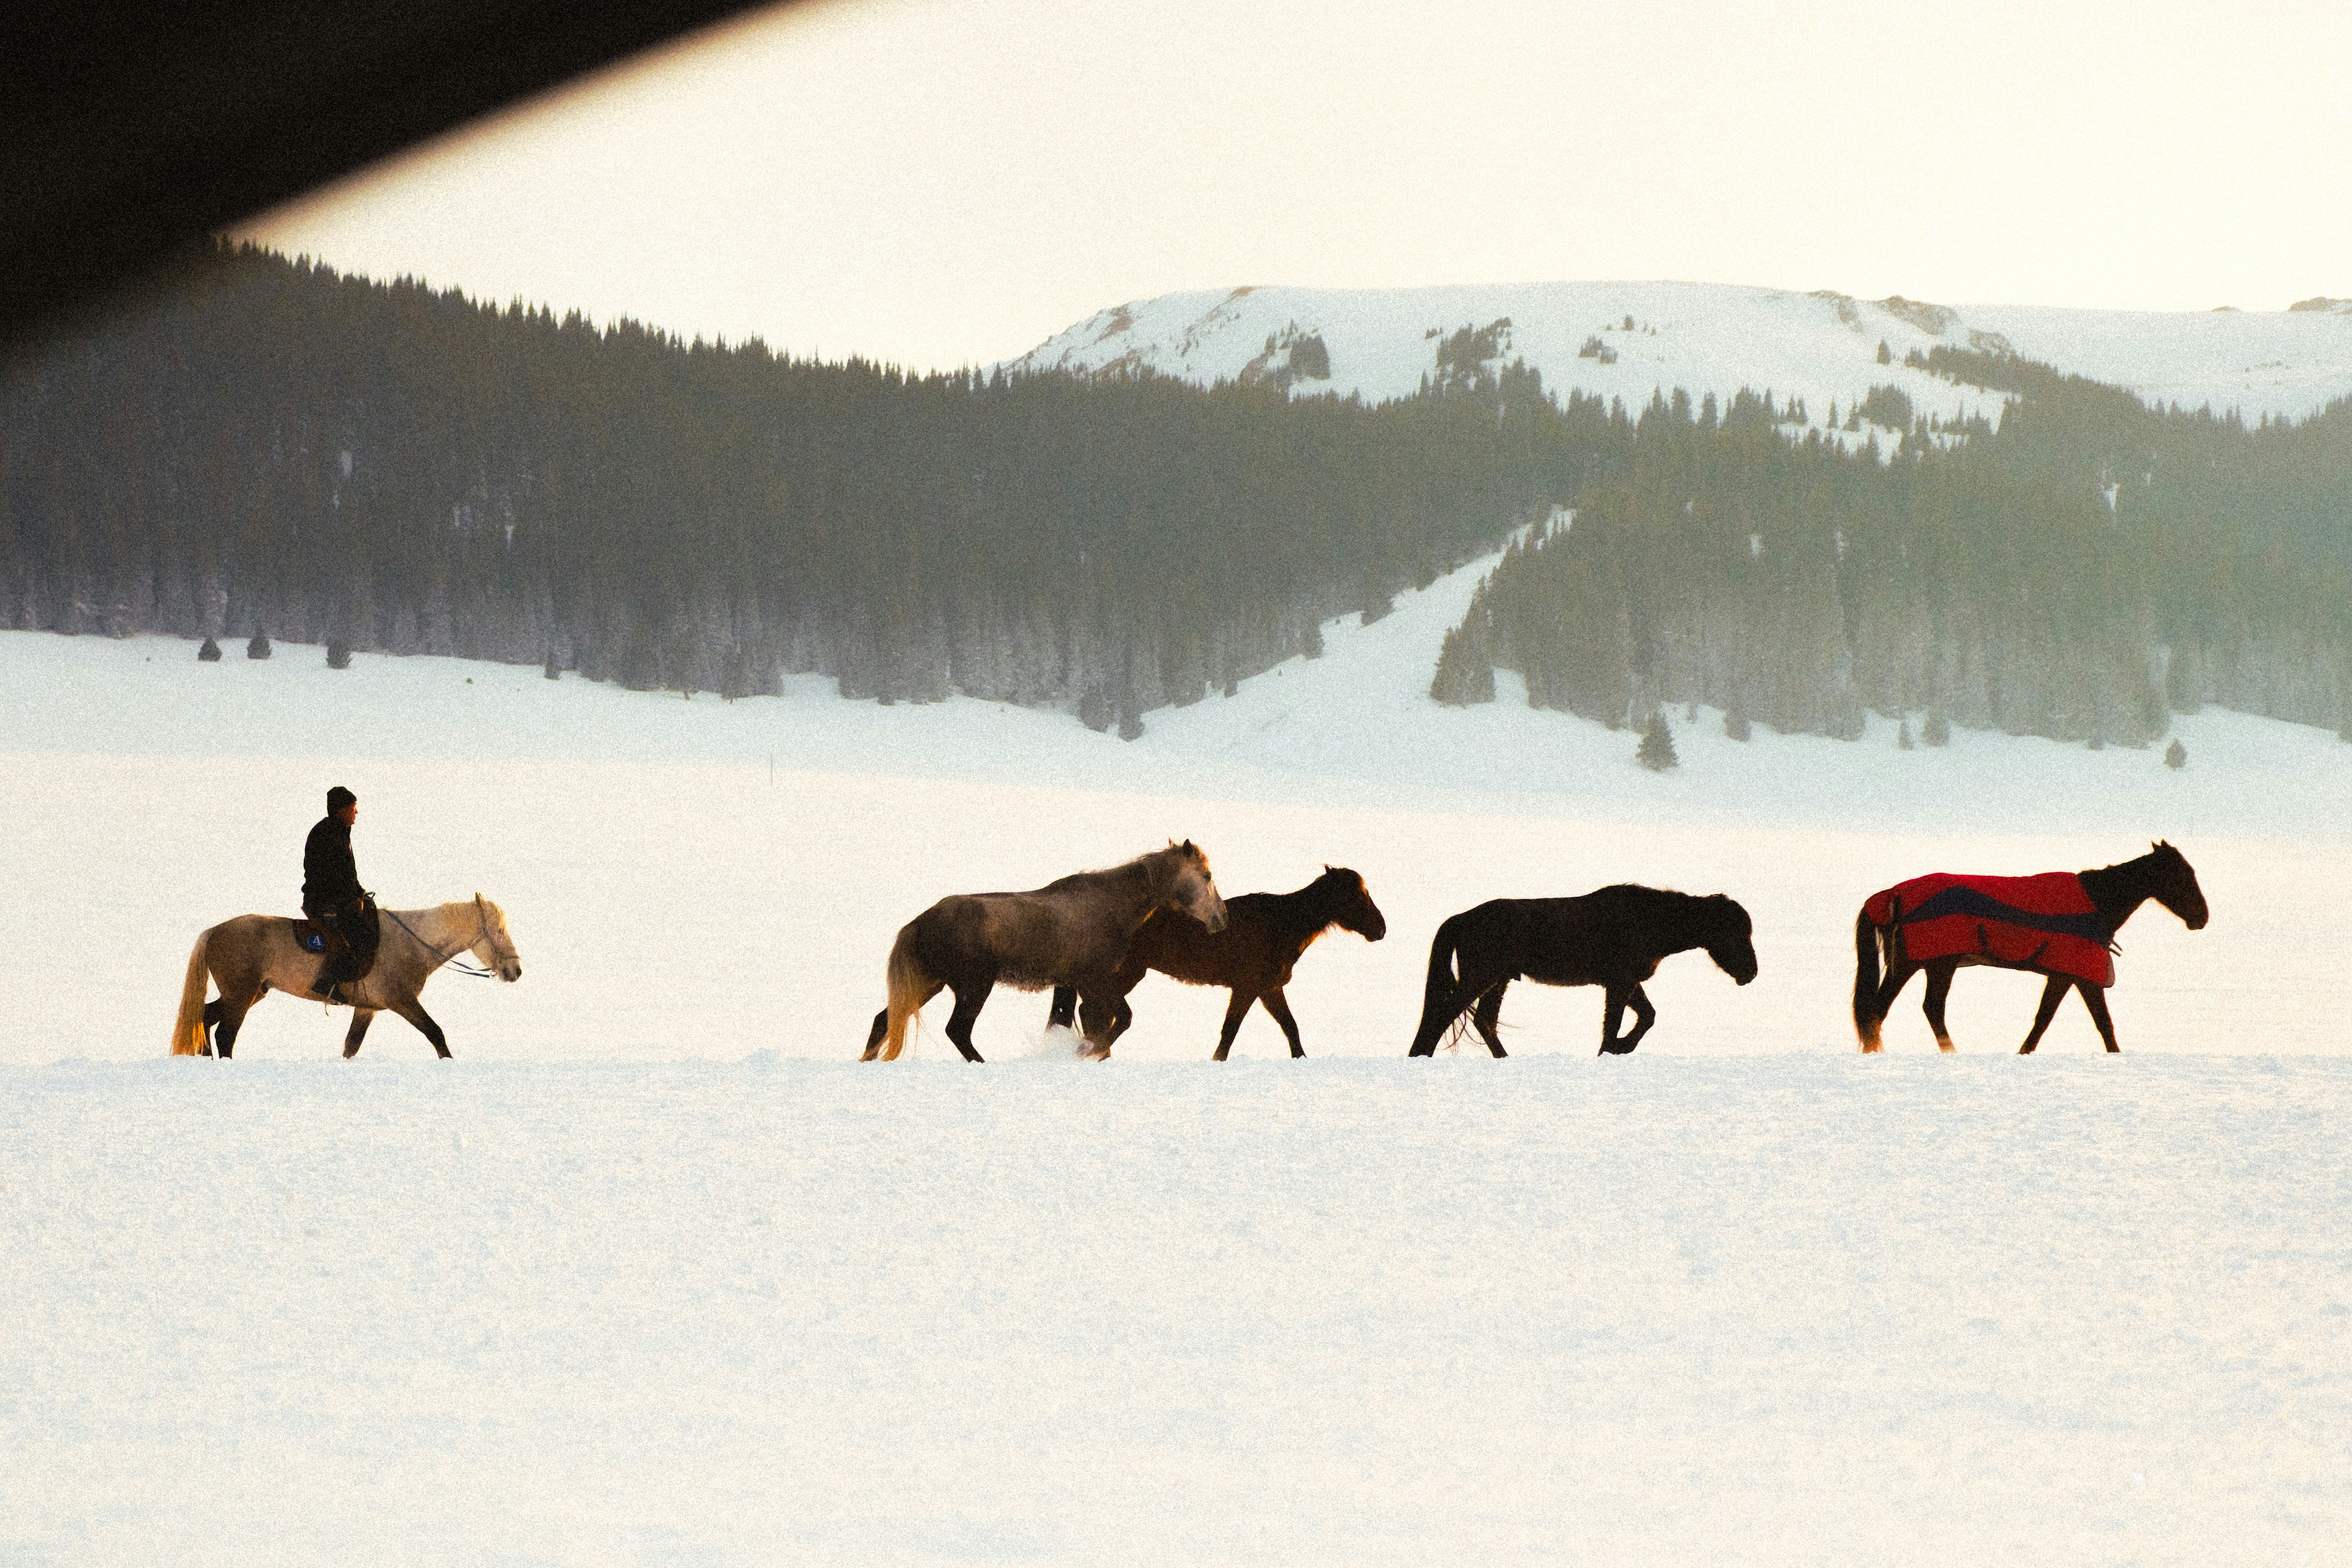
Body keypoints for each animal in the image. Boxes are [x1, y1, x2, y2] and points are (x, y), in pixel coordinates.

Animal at [170, 895, 523, 1059]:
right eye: (499, 931)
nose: (516, 971)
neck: (410, 943)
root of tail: (215, 931)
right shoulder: (402, 1001)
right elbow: (435, 1033)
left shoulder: (367, 1009)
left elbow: (351, 1046)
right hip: (241, 995)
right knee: (225, 1034)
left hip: (252, 993)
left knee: (205, 1018)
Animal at [862, 841, 1228, 1062]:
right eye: (1207, 875)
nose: (1221, 918)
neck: (1112, 907)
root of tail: (919, 923)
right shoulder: (1093, 978)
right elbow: (1121, 1018)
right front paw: (1086, 1051)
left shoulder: (1067, 982)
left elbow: (1066, 1020)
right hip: (973, 986)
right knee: (957, 1031)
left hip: (931, 983)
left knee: (885, 1019)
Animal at [1044, 865, 1388, 1059]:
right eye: (1356, 895)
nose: (1381, 929)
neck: (1281, 923)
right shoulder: (1247, 988)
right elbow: (1230, 1032)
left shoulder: (1269, 989)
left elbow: (1291, 1028)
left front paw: (1300, 1059)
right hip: (1124, 973)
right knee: (1093, 1011)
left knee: (1091, 1012)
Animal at [1406, 886, 1758, 1057]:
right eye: (1735, 934)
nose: (1751, 973)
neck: (1650, 920)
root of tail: (1462, 918)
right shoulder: (1619, 983)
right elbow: (1613, 1025)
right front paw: (1611, 1050)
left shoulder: (1627, 982)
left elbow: (1647, 1017)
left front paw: (1622, 1048)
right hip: (1482, 977)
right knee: (1444, 1014)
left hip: (1498, 980)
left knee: (1483, 1022)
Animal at [1852, 841, 2207, 1054]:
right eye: (2181, 876)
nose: (2201, 918)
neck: (2096, 901)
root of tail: (1893, 894)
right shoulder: (2075, 974)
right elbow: (2081, 1021)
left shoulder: (2071, 976)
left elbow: (2062, 1020)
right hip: (1934, 963)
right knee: (1916, 1008)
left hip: (1920, 963)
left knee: (1894, 1009)